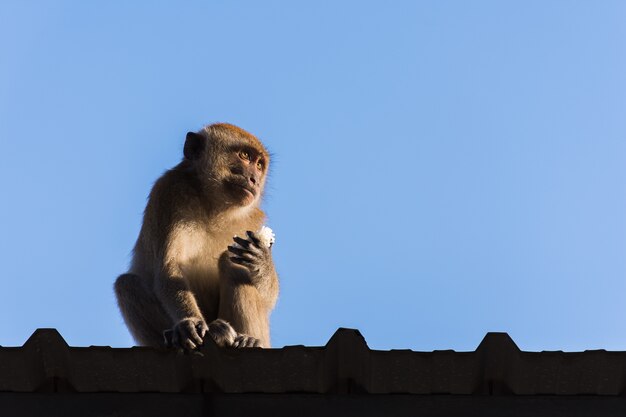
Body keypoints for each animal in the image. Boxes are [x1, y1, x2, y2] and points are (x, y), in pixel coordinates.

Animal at [112, 122, 278, 348]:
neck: (213, 206)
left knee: (232, 263)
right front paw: (190, 323)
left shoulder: (253, 219)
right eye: (245, 155)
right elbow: (169, 269)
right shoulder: (169, 192)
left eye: (260, 165)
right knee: (127, 284)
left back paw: (247, 339)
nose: (254, 180)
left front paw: (262, 261)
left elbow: (270, 297)